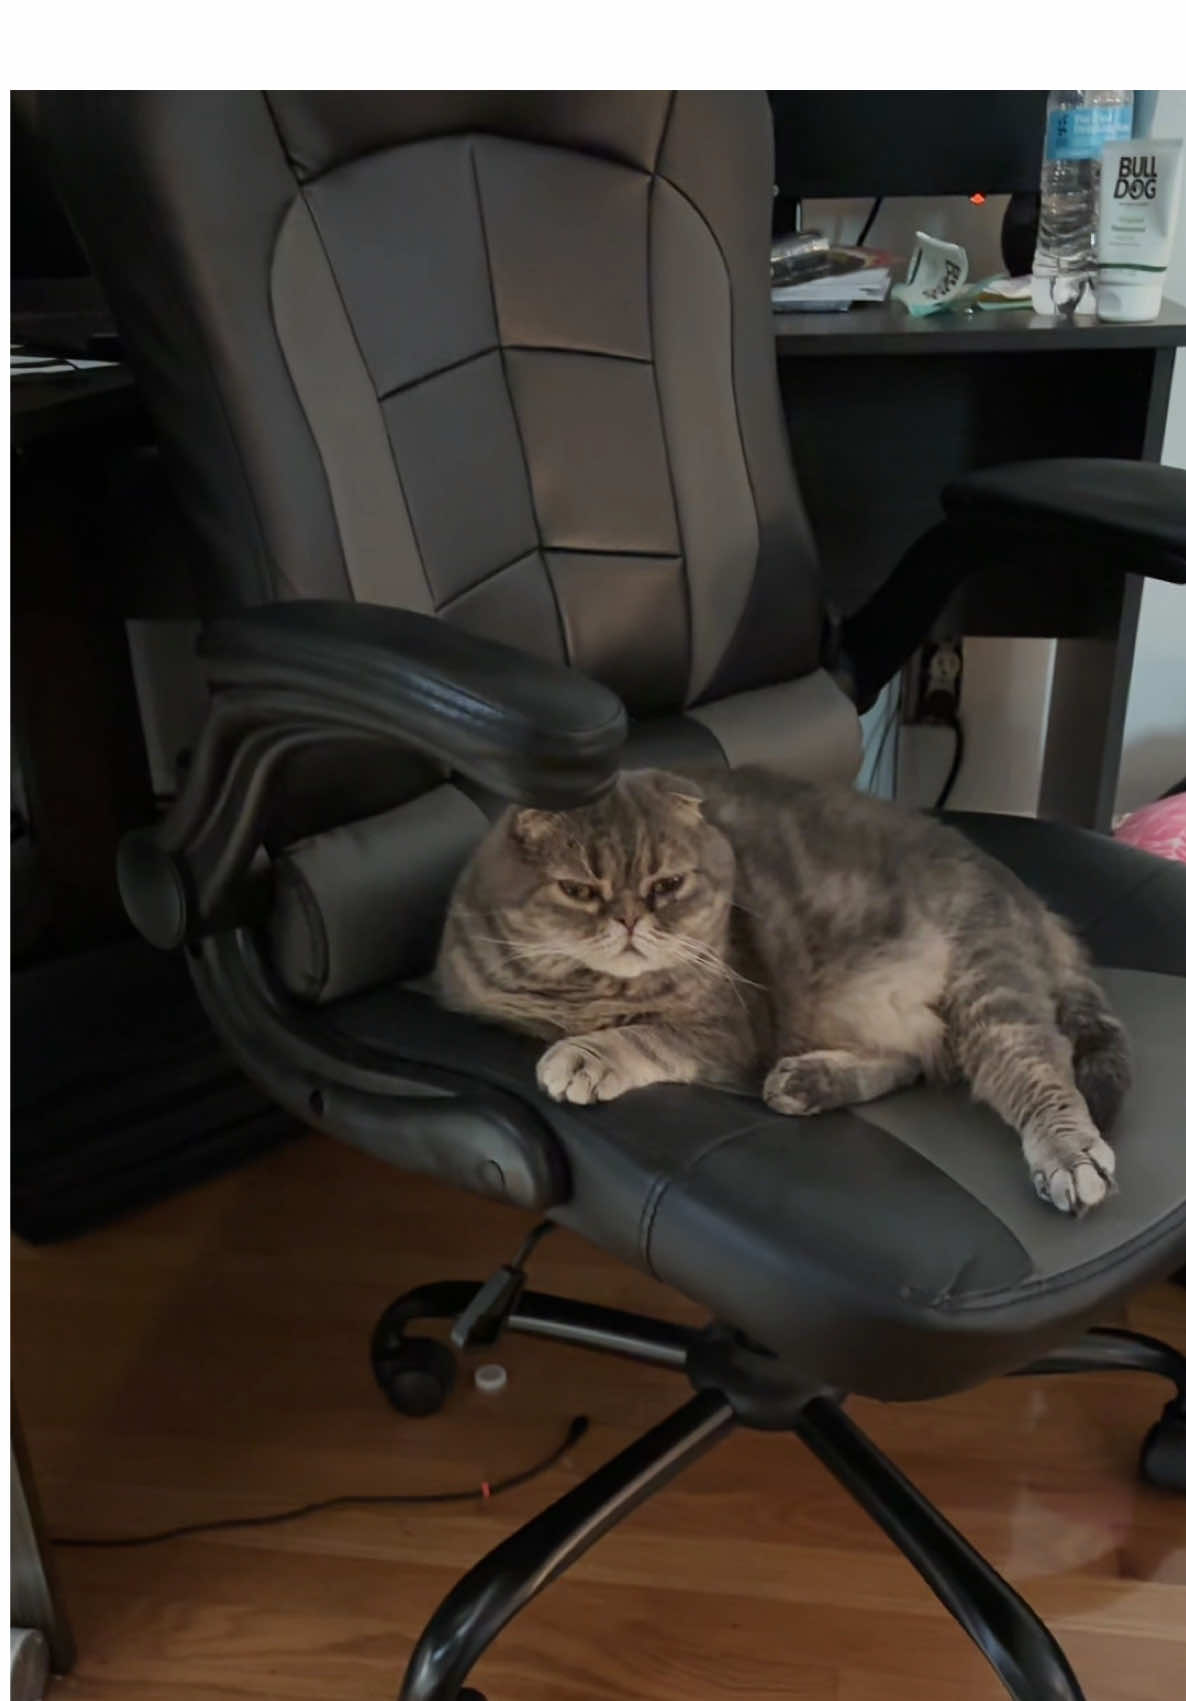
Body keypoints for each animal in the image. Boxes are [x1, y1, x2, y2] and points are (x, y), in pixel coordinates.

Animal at [435, 765, 1129, 1217]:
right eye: (579, 890)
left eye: (667, 885)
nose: (630, 921)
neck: (585, 989)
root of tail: (1027, 895)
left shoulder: (730, 1027)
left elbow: (645, 1035)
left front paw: (585, 1055)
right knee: (917, 1059)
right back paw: (807, 1081)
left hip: (988, 990)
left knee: (1039, 1070)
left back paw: (1071, 1156)